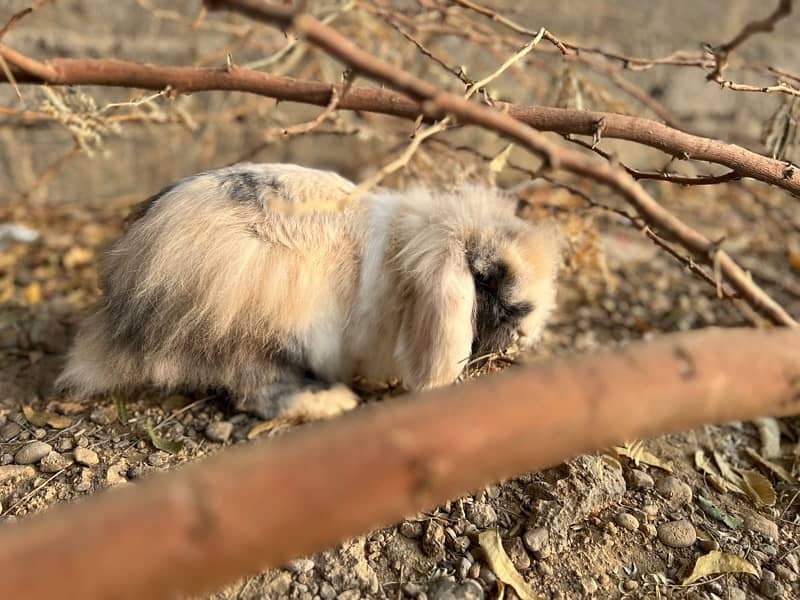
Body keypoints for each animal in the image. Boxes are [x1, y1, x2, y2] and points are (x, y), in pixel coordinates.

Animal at [56, 162, 560, 420]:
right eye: (485, 278)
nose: (525, 332)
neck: (403, 260)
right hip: (256, 322)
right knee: (255, 388)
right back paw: (332, 401)